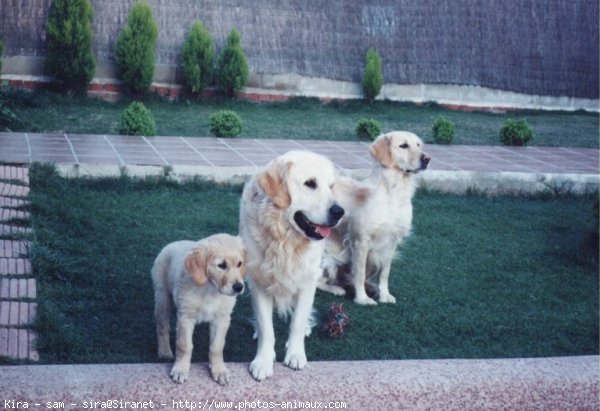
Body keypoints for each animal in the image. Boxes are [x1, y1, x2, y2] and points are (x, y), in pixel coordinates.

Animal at [152, 235, 246, 386]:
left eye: (239, 264)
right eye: (221, 265)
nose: (239, 287)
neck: (210, 289)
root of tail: (174, 243)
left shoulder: (222, 319)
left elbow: (217, 346)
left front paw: (219, 370)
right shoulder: (186, 316)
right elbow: (185, 345)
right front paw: (180, 369)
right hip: (163, 298)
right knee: (162, 327)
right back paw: (164, 351)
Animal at [238, 150, 344, 382]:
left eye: (331, 186)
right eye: (310, 183)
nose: (340, 211)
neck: (285, 241)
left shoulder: (307, 281)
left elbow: (297, 321)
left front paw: (295, 354)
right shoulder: (259, 281)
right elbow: (267, 327)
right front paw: (263, 361)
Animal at [322, 132, 428, 306]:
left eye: (418, 145)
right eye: (403, 145)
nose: (427, 159)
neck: (394, 194)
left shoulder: (391, 242)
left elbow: (384, 273)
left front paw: (384, 295)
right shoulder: (361, 240)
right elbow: (359, 272)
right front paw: (362, 298)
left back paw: (369, 287)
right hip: (330, 258)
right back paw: (336, 289)